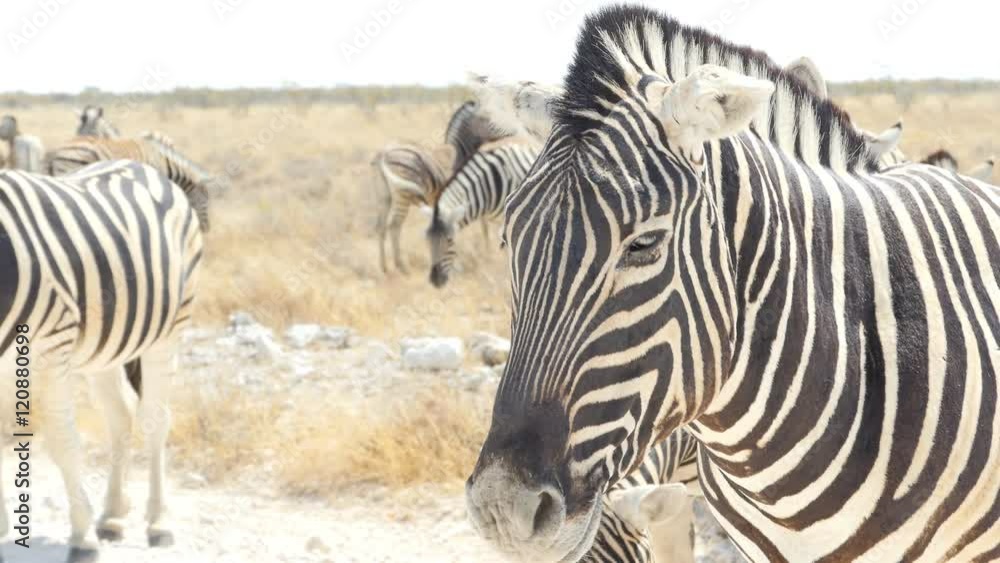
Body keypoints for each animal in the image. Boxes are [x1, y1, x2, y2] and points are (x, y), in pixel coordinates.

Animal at [0, 159, 203, 563]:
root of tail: (139, 165)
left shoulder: (50, 347)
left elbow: (64, 442)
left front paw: (82, 540)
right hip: (104, 350)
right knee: (121, 418)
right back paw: (111, 517)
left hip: (169, 330)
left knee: (155, 420)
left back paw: (158, 524)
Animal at [374, 100, 505, 273]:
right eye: (490, 116)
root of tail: (383, 152)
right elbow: (478, 226)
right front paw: (483, 255)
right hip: (403, 194)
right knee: (394, 226)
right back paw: (401, 266)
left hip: (384, 197)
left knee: (381, 227)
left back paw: (384, 267)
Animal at [427, 138, 540, 287]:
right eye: (428, 240)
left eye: (449, 240)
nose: (435, 280)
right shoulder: (487, 217)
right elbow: (487, 239)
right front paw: (490, 264)